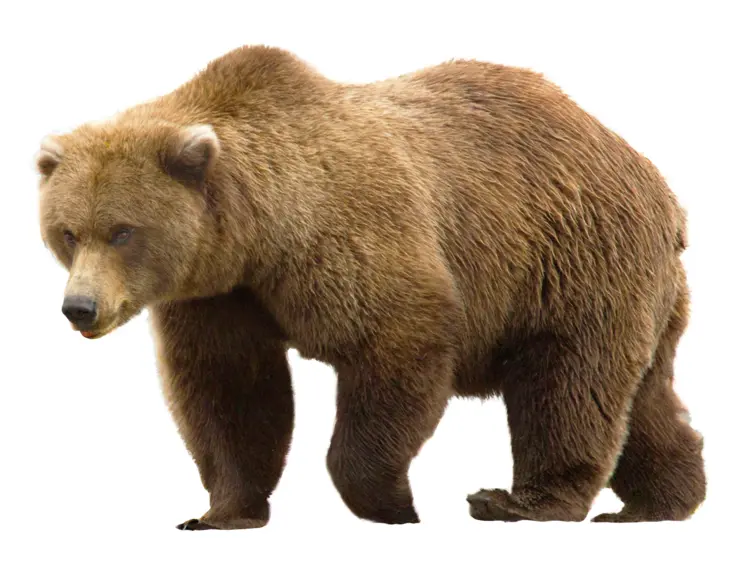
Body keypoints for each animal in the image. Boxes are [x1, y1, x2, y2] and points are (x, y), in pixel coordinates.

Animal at [36, 45, 706, 529]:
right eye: (67, 232)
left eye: (123, 231)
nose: (79, 307)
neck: (258, 235)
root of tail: (656, 183)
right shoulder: (219, 295)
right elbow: (230, 389)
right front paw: (220, 512)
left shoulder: (349, 238)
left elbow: (398, 341)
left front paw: (394, 505)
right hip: (635, 288)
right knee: (644, 397)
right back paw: (660, 502)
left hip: (571, 261)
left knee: (568, 384)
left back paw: (520, 502)